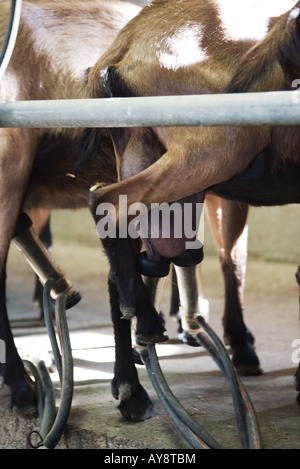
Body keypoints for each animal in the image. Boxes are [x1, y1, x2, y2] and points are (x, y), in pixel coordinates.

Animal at [88, 0, 300, 420]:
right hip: (215, 147)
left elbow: (234, 258)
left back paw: (131, 387)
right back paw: (147, 326)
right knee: (107, 204)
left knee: (121, 261)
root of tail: (123, 47)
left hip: (141, 151)